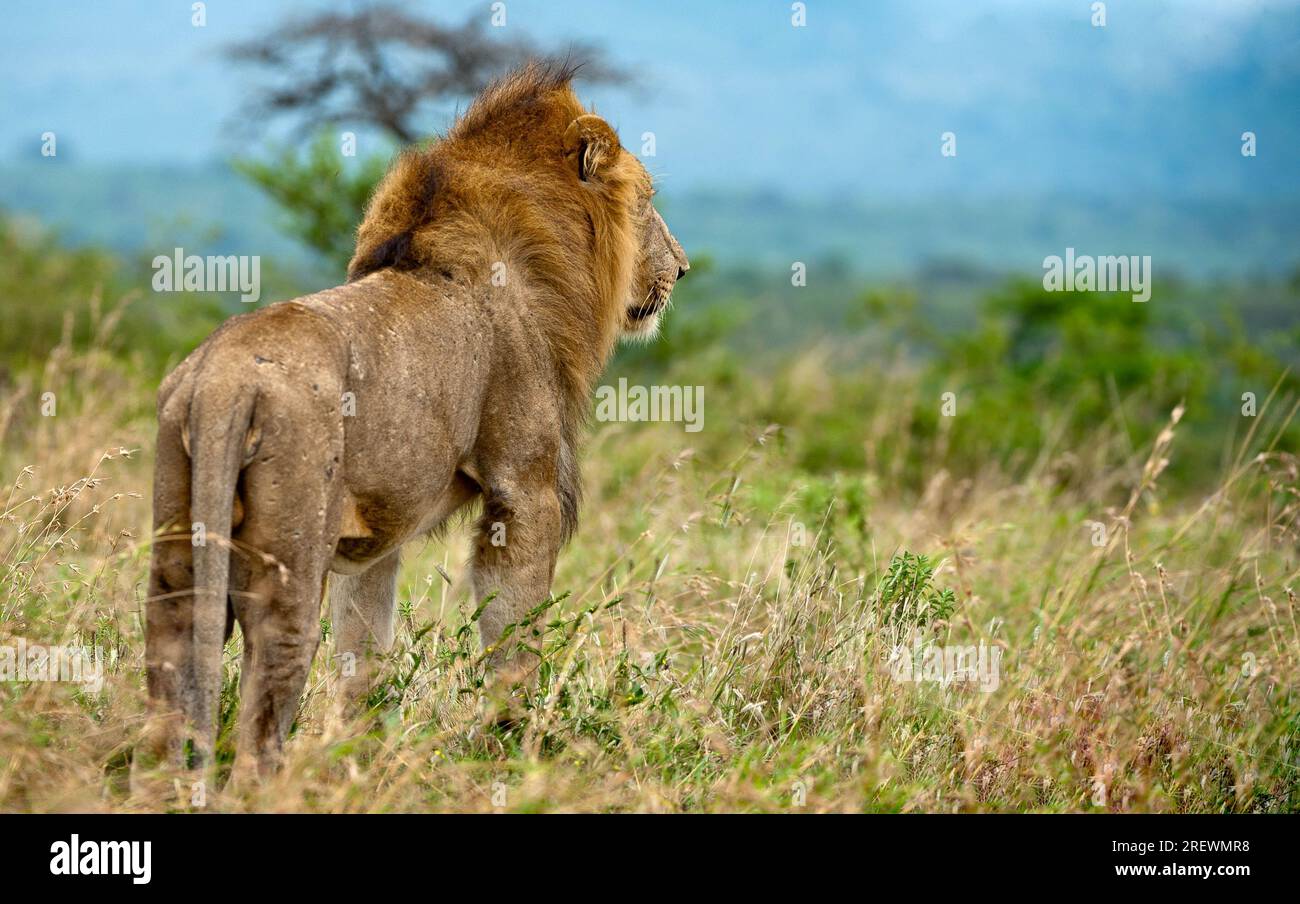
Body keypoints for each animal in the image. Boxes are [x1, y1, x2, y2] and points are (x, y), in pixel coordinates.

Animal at [141, 61, 689, 779]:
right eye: (648, 199)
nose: (683, 267)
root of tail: (223, 383)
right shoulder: (524, 490)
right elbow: (512, 637)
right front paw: (511, 749)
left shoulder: (375, 529)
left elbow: (363, 653)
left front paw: (356, 755)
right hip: (290, 557)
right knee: (267, 692)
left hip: (178, 540)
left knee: (171, 657)